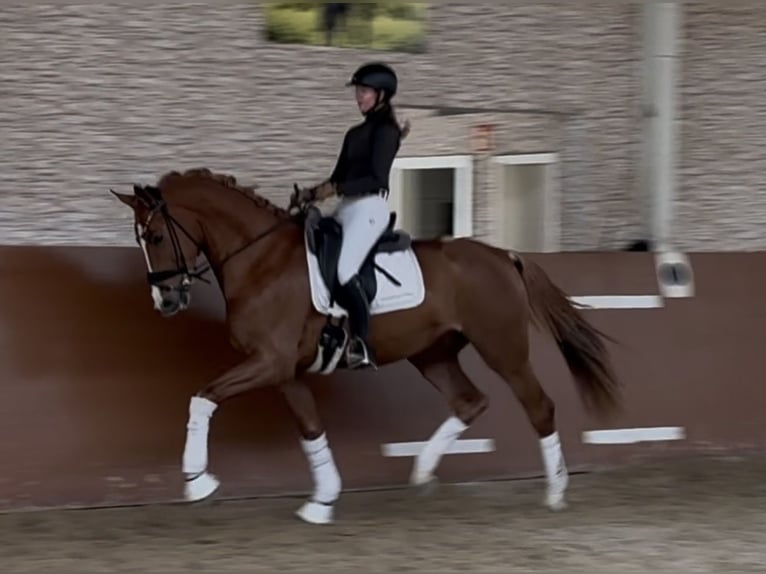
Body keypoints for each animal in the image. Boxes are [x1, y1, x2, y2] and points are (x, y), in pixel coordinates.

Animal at [111, 167, 622, 525]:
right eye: (141, 240)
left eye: (156, 236)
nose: (166, 301)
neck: (260, 260)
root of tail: (503, 255)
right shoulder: (284, 370)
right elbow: (311, 429)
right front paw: (323, 500)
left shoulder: (269, 362)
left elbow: (202, 398)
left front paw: (197, 481)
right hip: (432, 354)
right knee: (469, 401)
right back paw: (422, 471)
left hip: (503, 349)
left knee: (538, 406)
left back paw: (555, 493)